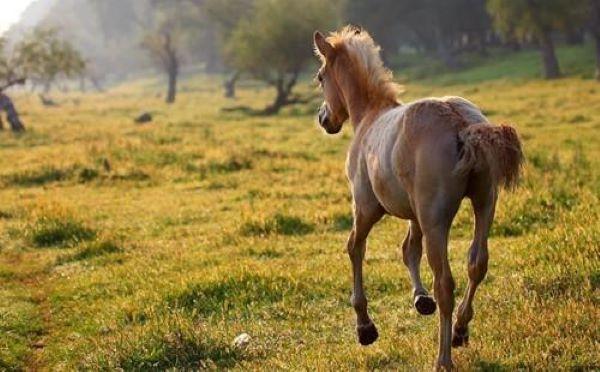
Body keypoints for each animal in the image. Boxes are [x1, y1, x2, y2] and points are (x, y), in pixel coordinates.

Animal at [312, 25, 524, 370]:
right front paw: (421, 300)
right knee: (476, 264)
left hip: (437, 220)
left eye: (320, 77)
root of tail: (461, 123)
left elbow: (355, 248)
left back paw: (443, 358)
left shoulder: (366, 207)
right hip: (484, 203)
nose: (323, 118)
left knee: (446, 283)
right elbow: (409, 249)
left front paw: (365, 328)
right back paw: (460, 331)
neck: (369, 116)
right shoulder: (415, 213)